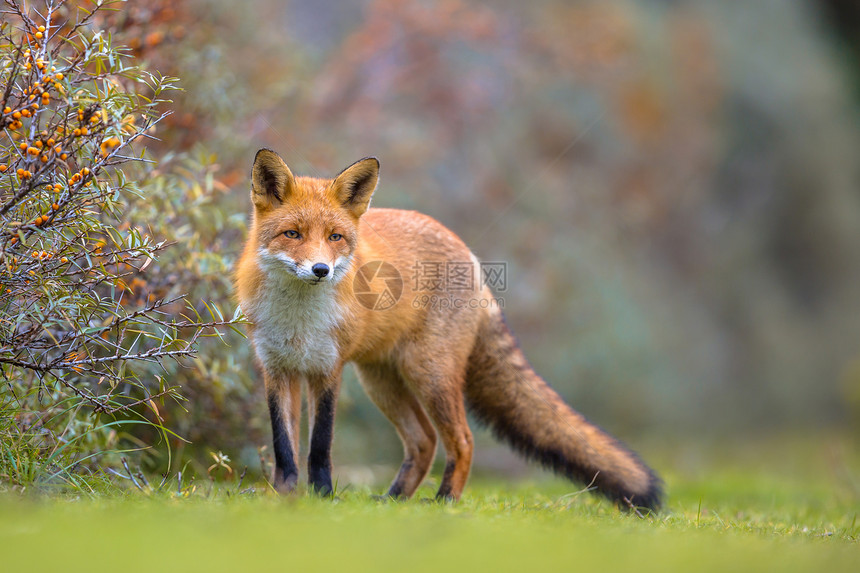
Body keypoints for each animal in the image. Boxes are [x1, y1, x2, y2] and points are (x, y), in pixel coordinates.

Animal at [235, 147, 664, 510]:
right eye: (292, 234)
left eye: (334, 237)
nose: (321, 270)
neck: (297, 321)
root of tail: (466, 250)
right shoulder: (277, 369)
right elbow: (284, 446)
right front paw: (284, 498)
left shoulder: (328, 369)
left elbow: (320, 446)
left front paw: (322, 499)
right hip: (383, 381)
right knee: (424, 441)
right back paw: (393, 499)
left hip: (430, 374)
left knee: (462, 439)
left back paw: (445, 502)